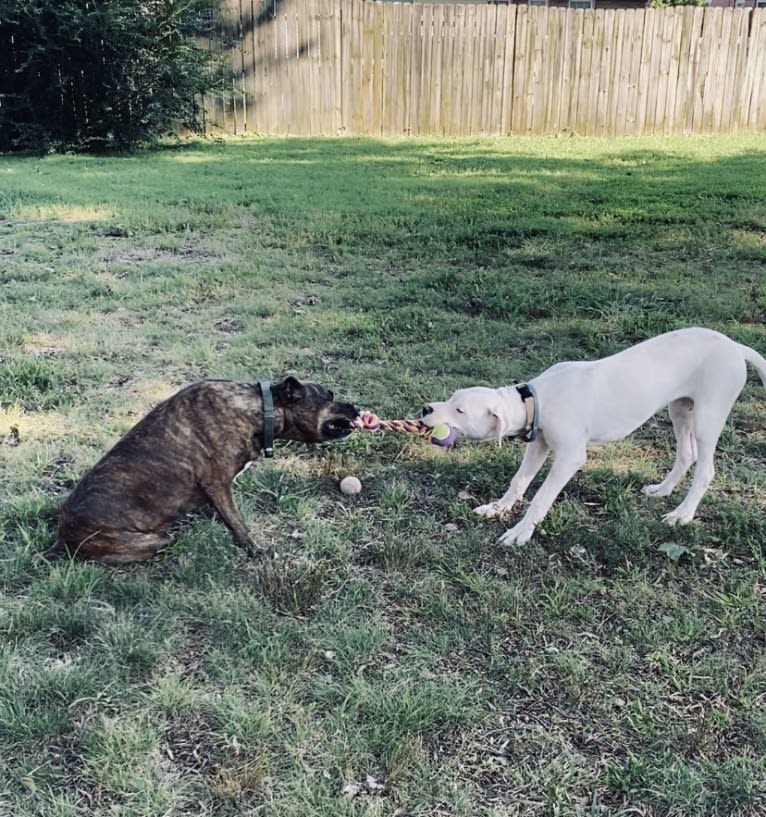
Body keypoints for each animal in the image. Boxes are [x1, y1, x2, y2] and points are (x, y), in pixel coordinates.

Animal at [48, 378, 360, 564]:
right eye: (329, 395)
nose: (356, 407)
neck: (259, 410)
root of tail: (63, 535)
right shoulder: (218, 483)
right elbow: (238, 525)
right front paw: (256, 553)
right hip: (152, 539)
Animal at [424, 328, 766, 544]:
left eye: (459, 411)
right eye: (451, 398)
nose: (426, 408)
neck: (536, 398)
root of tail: (735, 346)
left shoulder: (570, 457)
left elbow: (541, 497)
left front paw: (521, 532)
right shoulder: (539, 445)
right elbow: (519, 481)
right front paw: (498, 508)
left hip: (708, 417)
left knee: (705, 469)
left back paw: (682, 514)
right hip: (680, 409)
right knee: (686, 454)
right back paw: (662, 490)